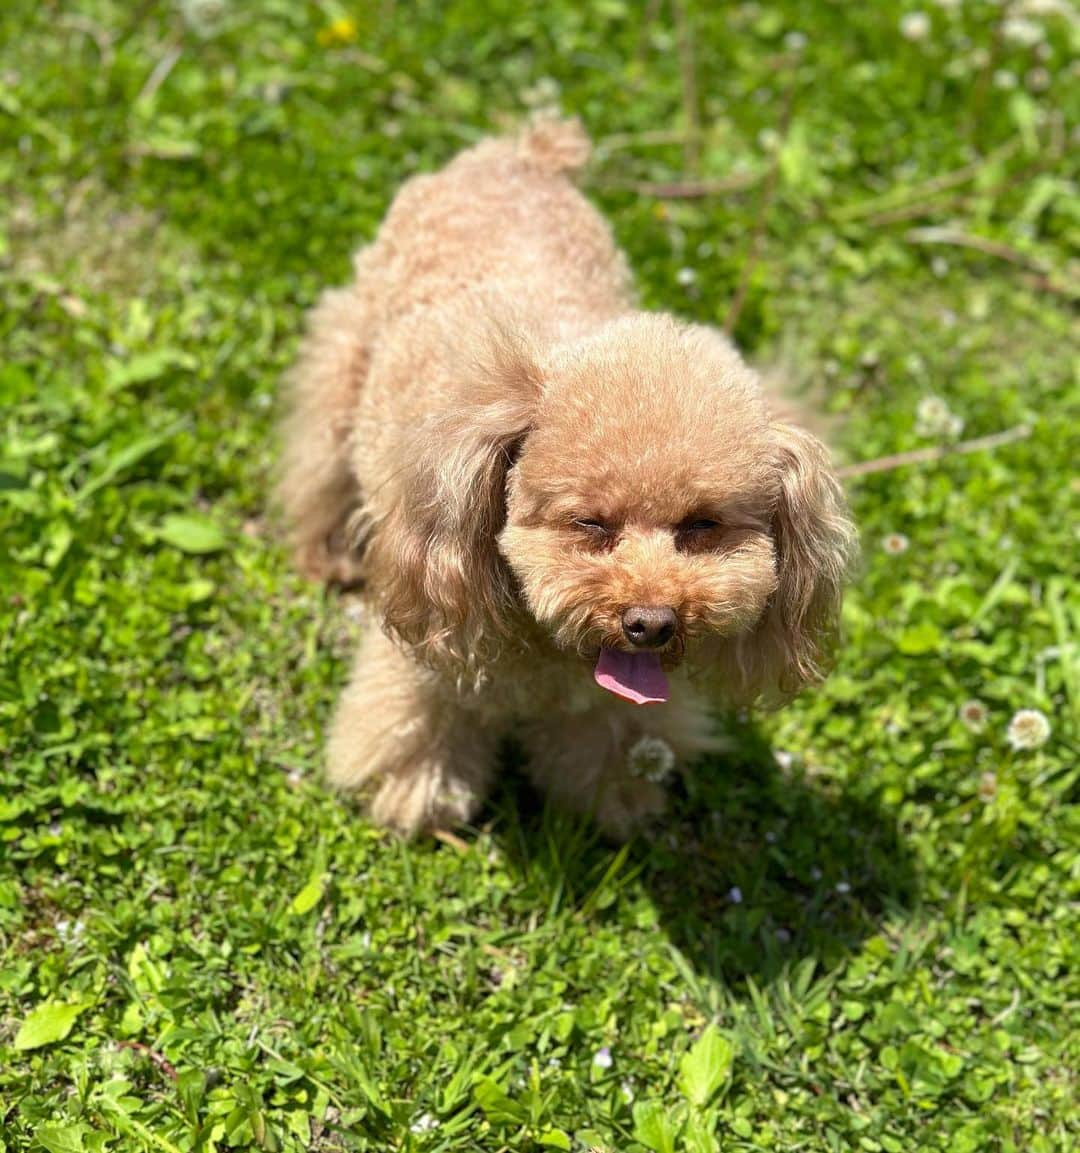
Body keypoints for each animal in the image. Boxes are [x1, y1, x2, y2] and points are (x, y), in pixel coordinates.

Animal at [282, 119, 857, 839]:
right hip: (345, 356)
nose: (651, 622)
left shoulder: (608, 700)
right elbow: (421, 713)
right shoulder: (431, 637)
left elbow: (608, 731)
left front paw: (616, 799)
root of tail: (522, 154)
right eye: (589, 522)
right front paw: (420, 791)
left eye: (702, 525)